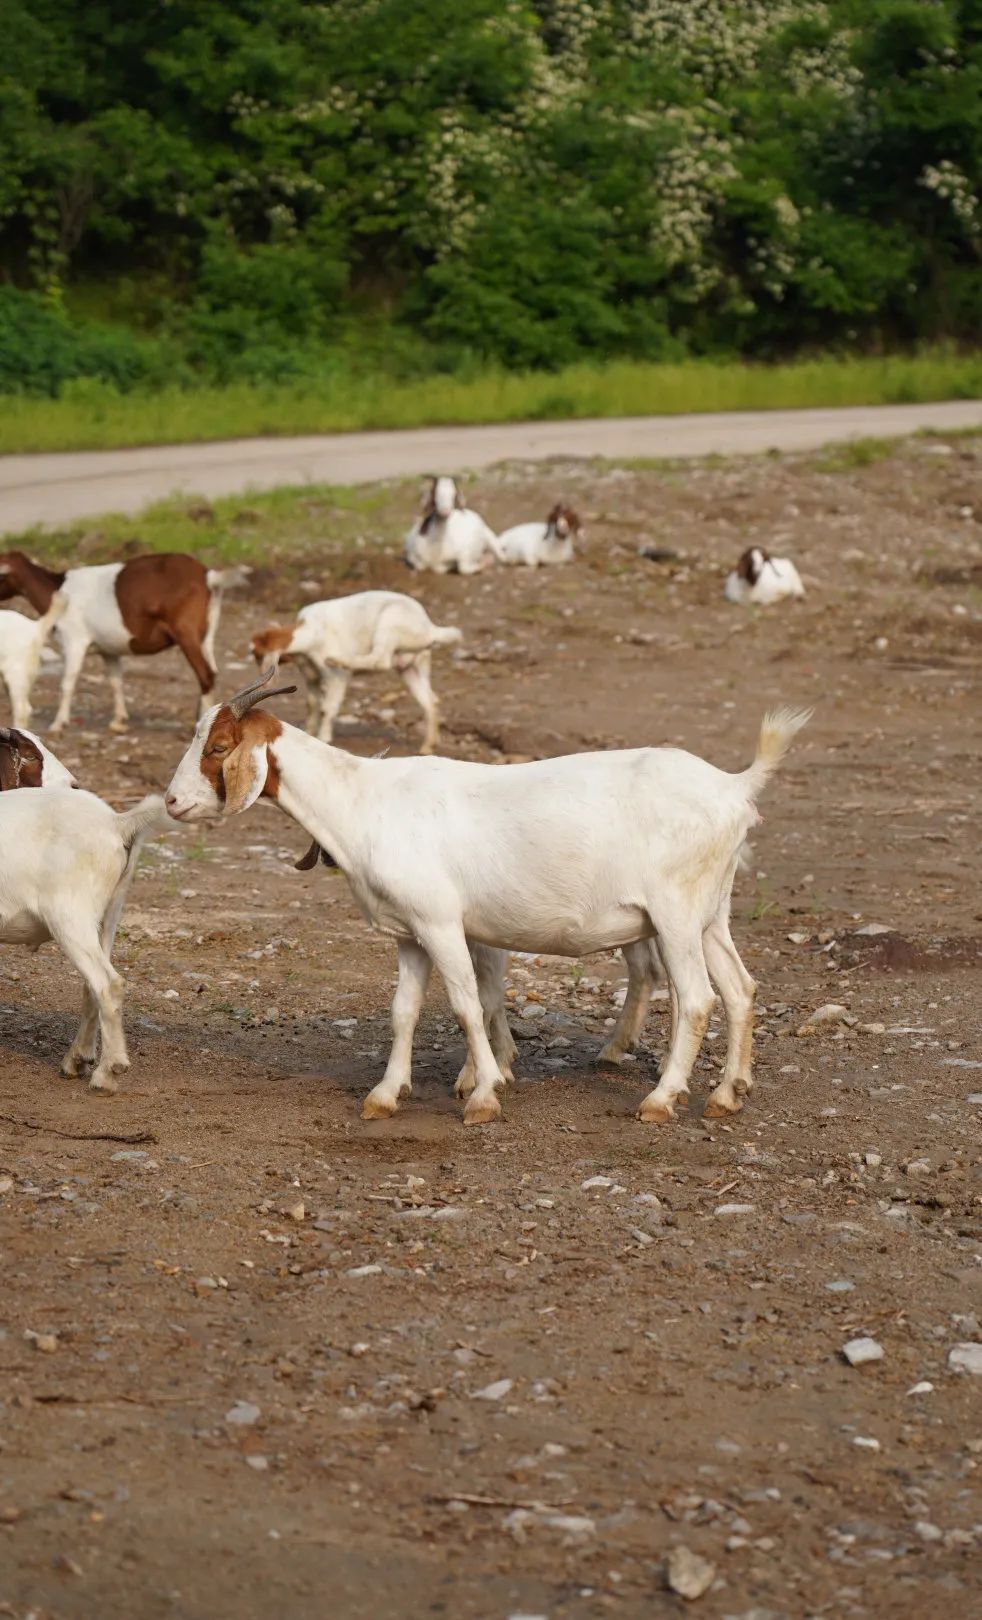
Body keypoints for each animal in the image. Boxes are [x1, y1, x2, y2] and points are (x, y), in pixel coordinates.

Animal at [0, 786, 167, 1091]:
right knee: (92, 985)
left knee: (107, 983)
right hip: (108, 912)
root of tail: (116, 822)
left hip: (69, 912)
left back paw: (107, 1073)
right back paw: (76, 1060)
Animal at [166, 667, 808, 1126]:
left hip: (675, 912)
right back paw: (726, 1095)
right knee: (741, 989)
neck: (362, 800)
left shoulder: (441, 922)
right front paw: (385, 1094)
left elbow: (467, 1004)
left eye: (218, 747)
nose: (172, 802)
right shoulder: (410, 933)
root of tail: (734, 787)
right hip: (710, 912)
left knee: (698, 998)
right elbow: (404, 1011)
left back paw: (661, 1099)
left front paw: (483, 1095)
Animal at [250, 590, 463, 751]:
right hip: (413, 667)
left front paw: (323, 737)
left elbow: (328, 707)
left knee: (380, 660)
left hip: (389, 625)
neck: (310, 632)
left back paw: (339, 660)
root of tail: (429, 629)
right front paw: (308, 731)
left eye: (258, 655)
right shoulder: (311, 676)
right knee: (430, 701)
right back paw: (428, 746)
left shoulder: (335, 677)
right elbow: (312, 704)